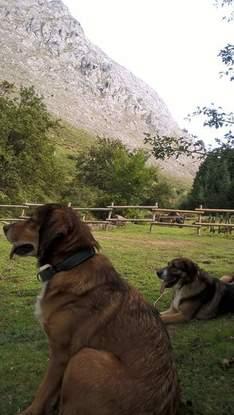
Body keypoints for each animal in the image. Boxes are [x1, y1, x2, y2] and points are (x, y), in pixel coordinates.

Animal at [3, 205, 179, 415]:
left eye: (32, 219)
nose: (4, 227)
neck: (71, 263)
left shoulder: (60, 353)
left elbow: (44, 390)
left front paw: (32, 410)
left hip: (84, 356)